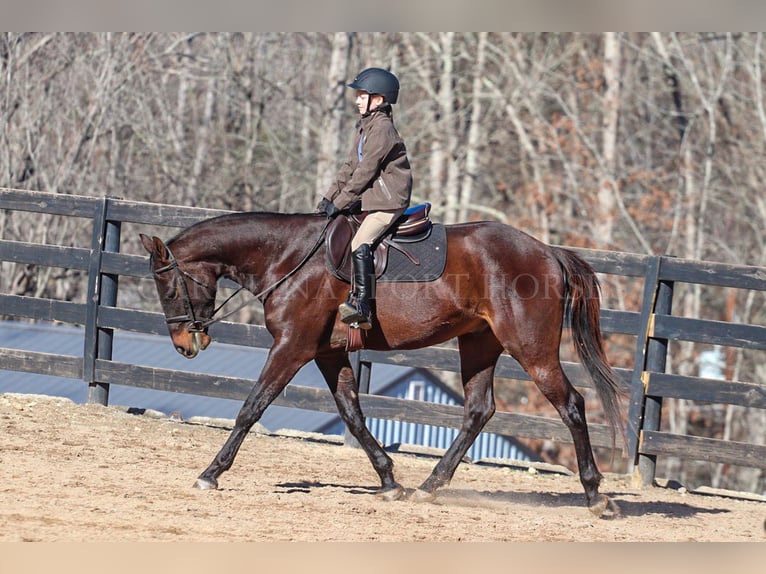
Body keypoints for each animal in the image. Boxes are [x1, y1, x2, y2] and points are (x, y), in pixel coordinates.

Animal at [141, 212, 628, 516]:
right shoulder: (328, 352)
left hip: (530, 349)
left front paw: (210, 473)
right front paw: (389, 480)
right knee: (478, 410)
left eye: (168, 288)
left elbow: (251, 408)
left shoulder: (292, 347)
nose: (185, 345)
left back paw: (595, 495)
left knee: (572, 405)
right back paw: (429, 487)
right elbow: (352, 414)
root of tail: (547, 252)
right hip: (479, 343)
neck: (288, 256)